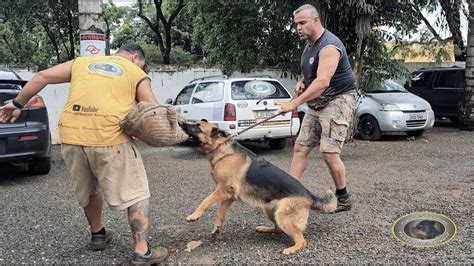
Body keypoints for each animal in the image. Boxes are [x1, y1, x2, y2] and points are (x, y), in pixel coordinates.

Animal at [179, 121, 336, 256]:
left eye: (197, 126)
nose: (180, 122)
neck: (221, 148)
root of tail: (309, 194)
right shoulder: (228, 197)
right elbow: (220, 214)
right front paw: (216, 230)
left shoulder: (222, 190)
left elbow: (205, 201)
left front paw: (194, 215)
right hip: (271, 211)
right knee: (278, 230)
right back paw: (265, 228)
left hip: (282, 215)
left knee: (302, 240)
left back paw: (292, 249)